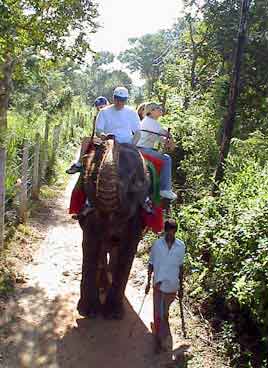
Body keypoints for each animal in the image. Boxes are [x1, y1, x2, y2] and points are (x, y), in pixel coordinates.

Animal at [77, 138, 149, 320]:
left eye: (135, 182)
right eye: (93, 176)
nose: (109, 138)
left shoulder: (137, 217)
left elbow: (128, 251)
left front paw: (114, 314)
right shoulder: (91, 210)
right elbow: (90, 246)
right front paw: (89, 312)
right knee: (103, 250)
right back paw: (103, 284)